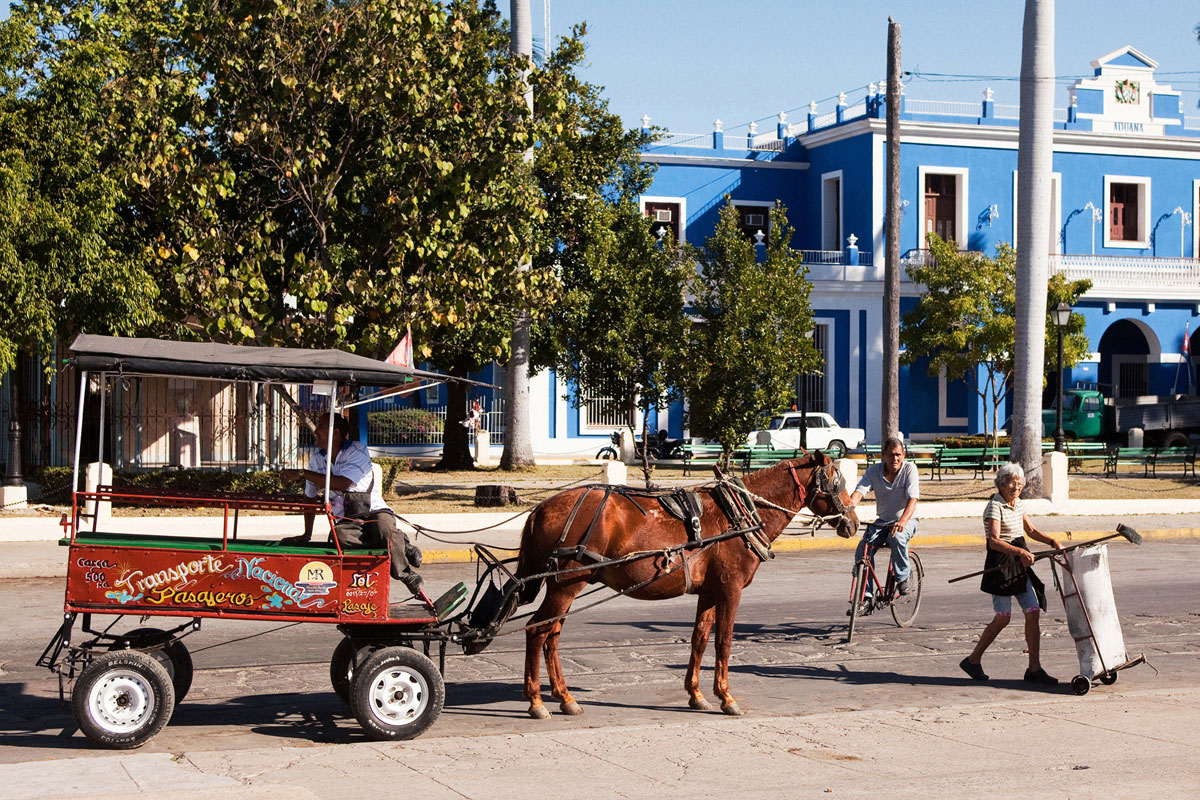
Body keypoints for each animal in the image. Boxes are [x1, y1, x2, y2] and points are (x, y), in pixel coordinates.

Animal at [511, 450, 859, 719]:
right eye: (836, 483)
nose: (853, 523)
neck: (739, 514)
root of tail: (540, 508)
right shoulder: (730, 590)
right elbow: (724, 642)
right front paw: (727, 698)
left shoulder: (709, 591)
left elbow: (700, 640)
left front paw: (697, 695)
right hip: (566, 584)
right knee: (537, 630)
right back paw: (537, 701)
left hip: (566, 586)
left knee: (552, 634)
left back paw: (564, 697)